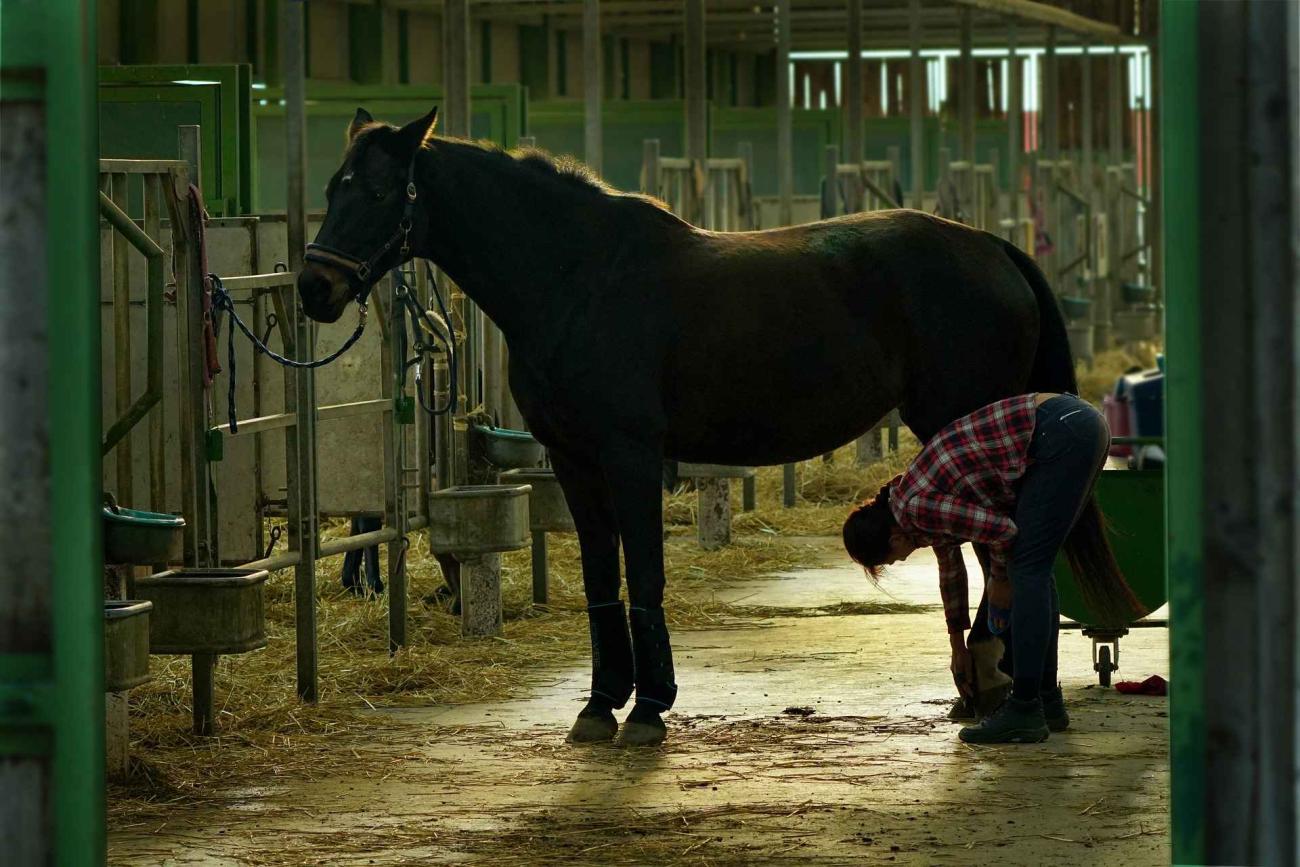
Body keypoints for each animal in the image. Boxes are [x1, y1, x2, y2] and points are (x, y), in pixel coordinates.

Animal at [297, 106, 1097, 748]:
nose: (314, 288)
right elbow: (602, 578)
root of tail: (993, 247)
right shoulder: (572, 461)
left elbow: (645, 574)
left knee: (1005, 554)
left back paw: (1016, 702)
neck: (577, 277)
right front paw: (599, 706)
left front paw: (649, 709)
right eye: (331, 187)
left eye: (376, 192)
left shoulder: (630, 456)